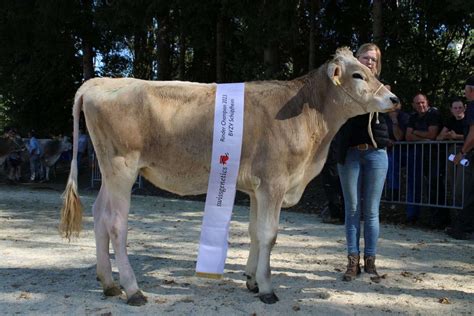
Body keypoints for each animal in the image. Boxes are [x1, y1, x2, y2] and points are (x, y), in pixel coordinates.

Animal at [59, 47, 400, 306]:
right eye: (358, 74)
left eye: (370, 69)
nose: (394, 99)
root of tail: (98, 83)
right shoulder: (274, 183)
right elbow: (269, 234)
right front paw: (267, 288)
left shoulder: (256, 188)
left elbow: (254, 232)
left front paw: (251, 280)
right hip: (121, 168)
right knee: (116, 224)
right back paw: (133, 290)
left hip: (109, 171)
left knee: (99, 215)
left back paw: (109, 283)